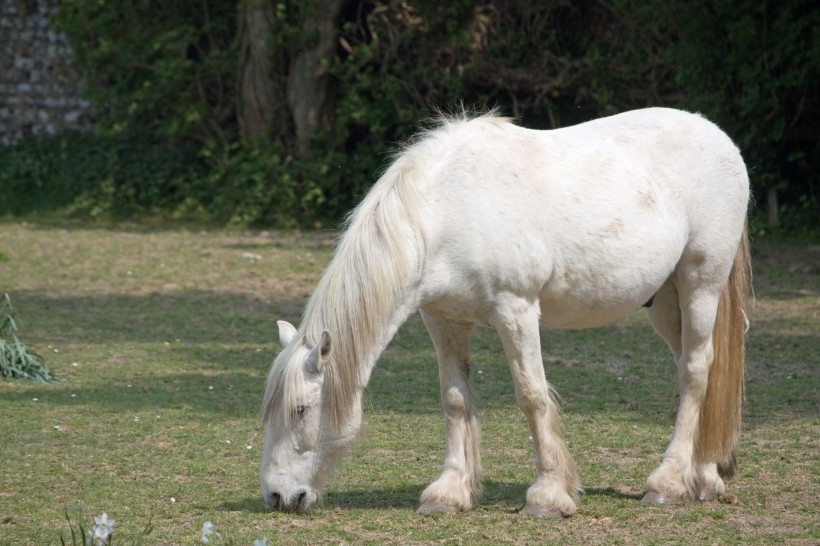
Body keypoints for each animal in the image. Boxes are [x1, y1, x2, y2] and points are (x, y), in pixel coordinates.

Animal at [262, 107, 748, 516]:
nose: (277, 496)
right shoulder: (443, 320)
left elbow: (531, 396)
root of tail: (720, 138)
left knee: (696, 372)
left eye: (301, 410)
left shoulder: (516, 311)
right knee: (692, 371)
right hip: (665, 304)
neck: (446, 210)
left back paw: (667, 482)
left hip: (700, 284)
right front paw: (449, 492)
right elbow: (455, 400)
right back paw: (704, 477)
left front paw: (548, 495)